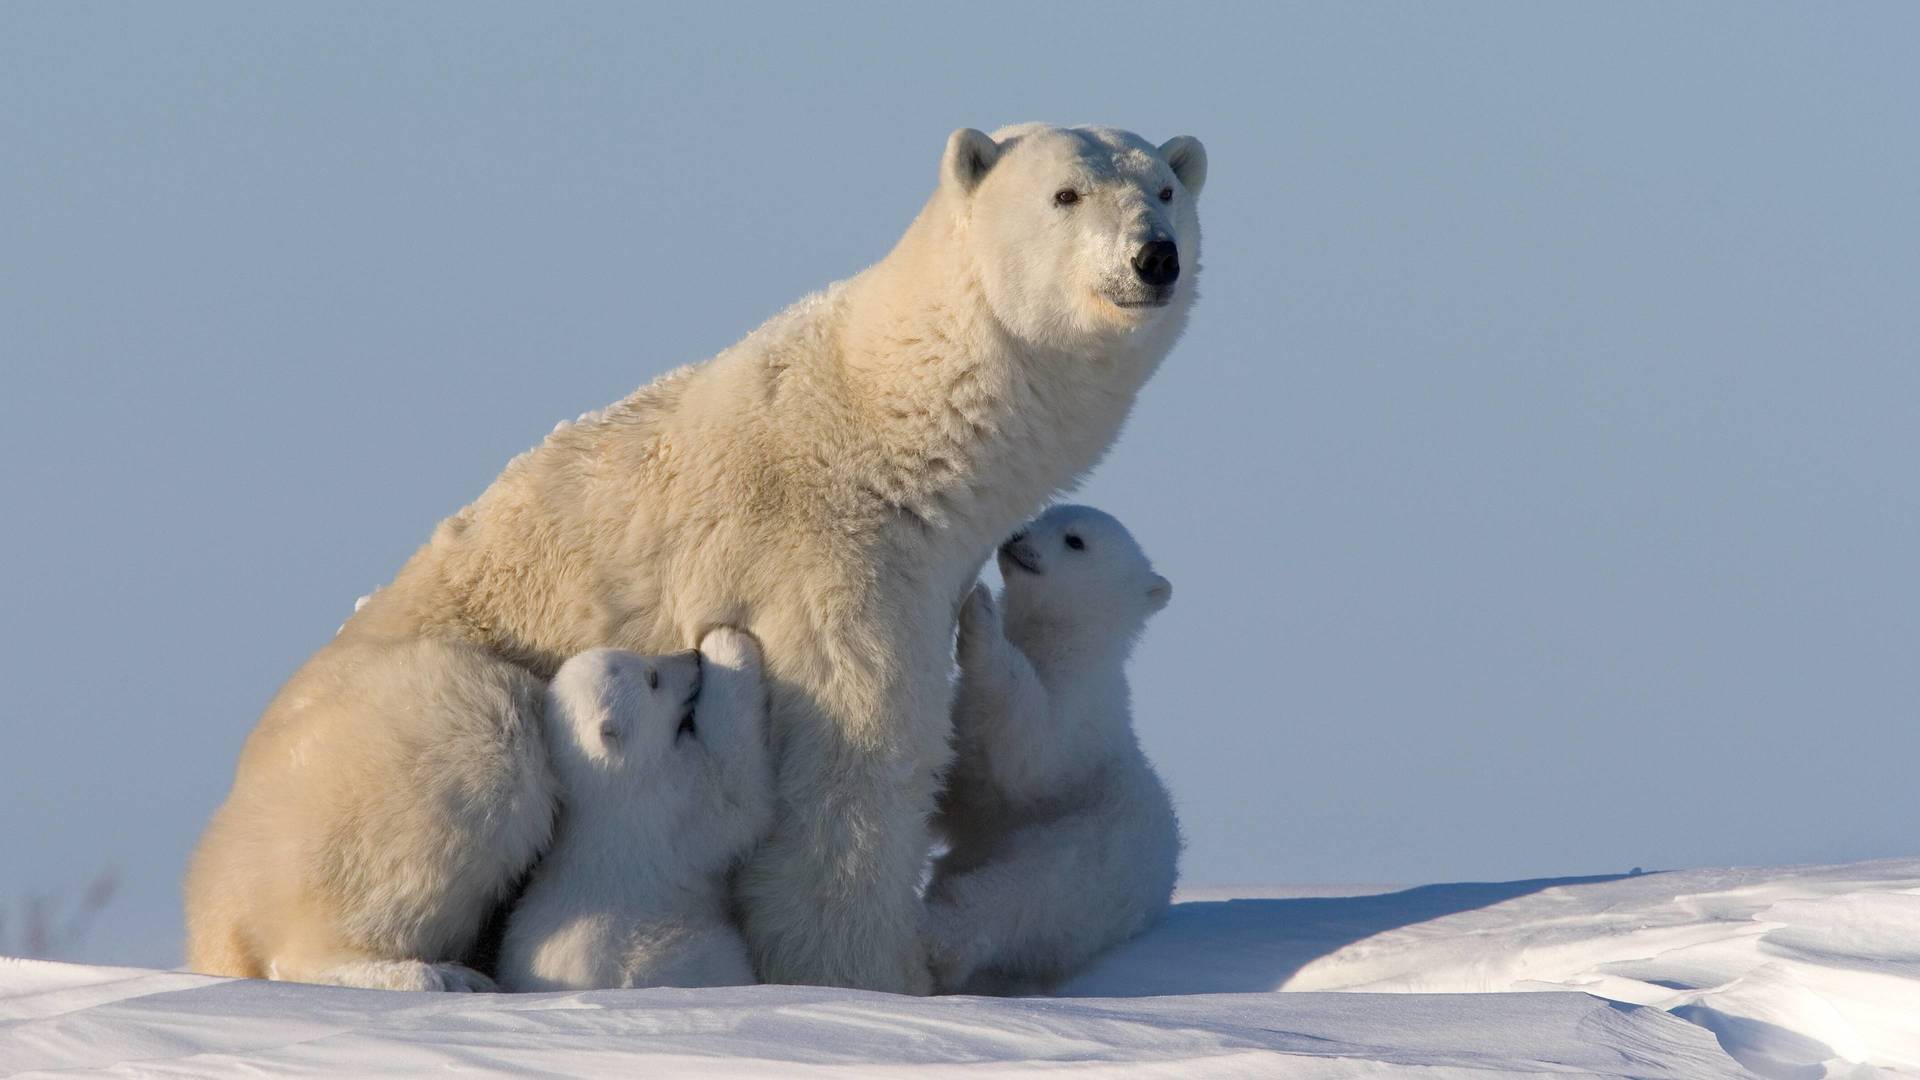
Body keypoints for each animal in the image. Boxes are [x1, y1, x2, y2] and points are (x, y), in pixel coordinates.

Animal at [499, 626, 775, 991]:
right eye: (653, 678)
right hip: (680, 950)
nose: (691, 656)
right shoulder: (670, 803)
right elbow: (735, 793)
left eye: (640, 656)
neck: (607, 782)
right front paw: (727, 643)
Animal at [921, 503, 1175, 991]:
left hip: (1081, 865)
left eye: (1074, 540)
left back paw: (937, 935)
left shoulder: (1078, 722)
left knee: (1013, 895)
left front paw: (981, 614)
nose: (1016, 535)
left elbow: (1031, 751)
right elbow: (961, 784)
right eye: (1043, 514)